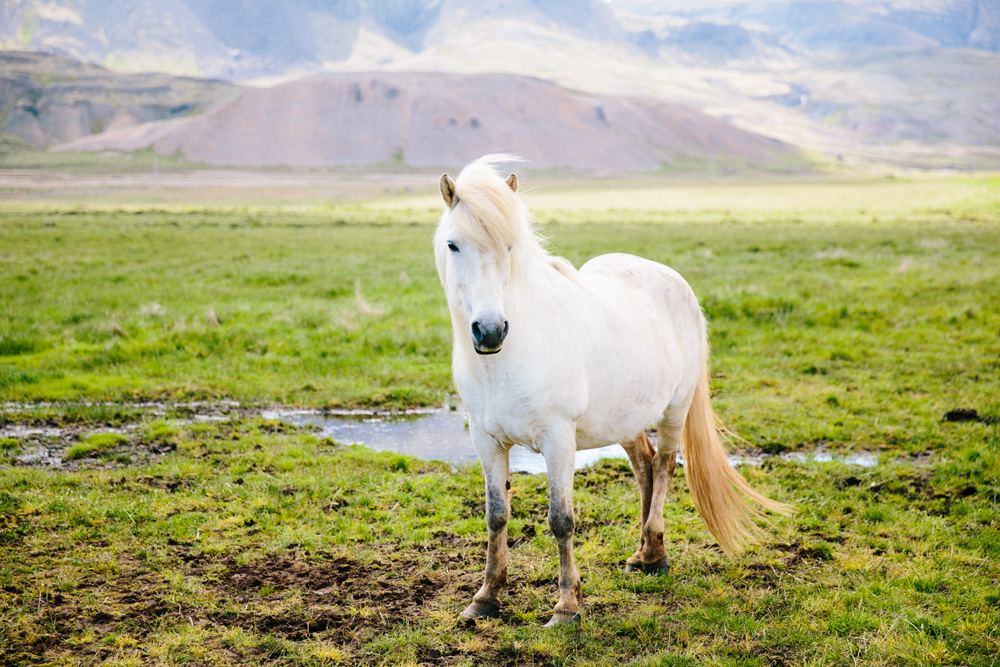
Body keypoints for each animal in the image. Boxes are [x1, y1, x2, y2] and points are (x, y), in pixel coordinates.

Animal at [434, 155, 792, 628]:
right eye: (454, 245)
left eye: (511, 246)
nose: (490, 330)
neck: (506, 359)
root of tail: (671, 278)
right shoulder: (486, 439)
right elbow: (496, 516)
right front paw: (485, 598)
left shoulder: (558, 440)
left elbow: (561, 520)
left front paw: (567, 606)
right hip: (625, 417)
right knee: (643, 466)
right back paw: (643, 552)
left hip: (675, 409)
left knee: (663, 466)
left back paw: (654, 555)